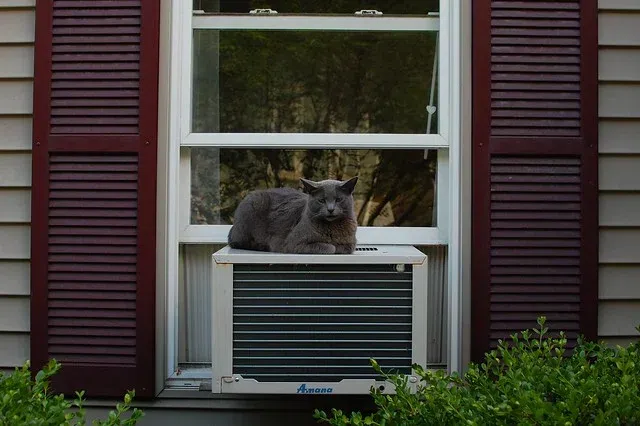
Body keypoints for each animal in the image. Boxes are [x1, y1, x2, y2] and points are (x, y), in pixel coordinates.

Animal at [229, 176, 360, 253]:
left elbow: (346, 247)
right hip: (255, 202)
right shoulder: (293, 243)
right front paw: (332, 246)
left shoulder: (351, 243)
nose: (330, 209)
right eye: (321, 200)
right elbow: (330, 247)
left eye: (338, 199)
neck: (333, 229)